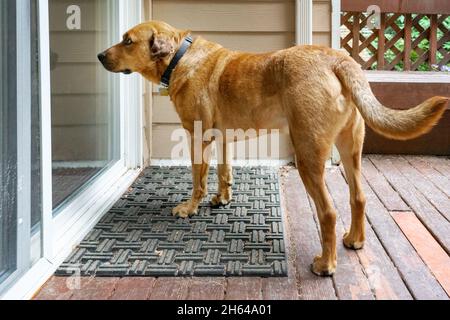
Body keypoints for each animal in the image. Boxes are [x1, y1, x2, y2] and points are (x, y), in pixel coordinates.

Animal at [97, 20, 446, 276]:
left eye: (128, 41)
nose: (100, 56)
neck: (180, 56)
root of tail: (338, 59)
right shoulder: (223, 138)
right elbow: (224, 173)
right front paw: (222, 199)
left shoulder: (198, 138)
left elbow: (198, 180)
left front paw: (189, 208)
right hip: (350, 149)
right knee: (358, 197)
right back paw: (355, 240)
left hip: (308, 156)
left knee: (329, 212)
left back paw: (326, 264)